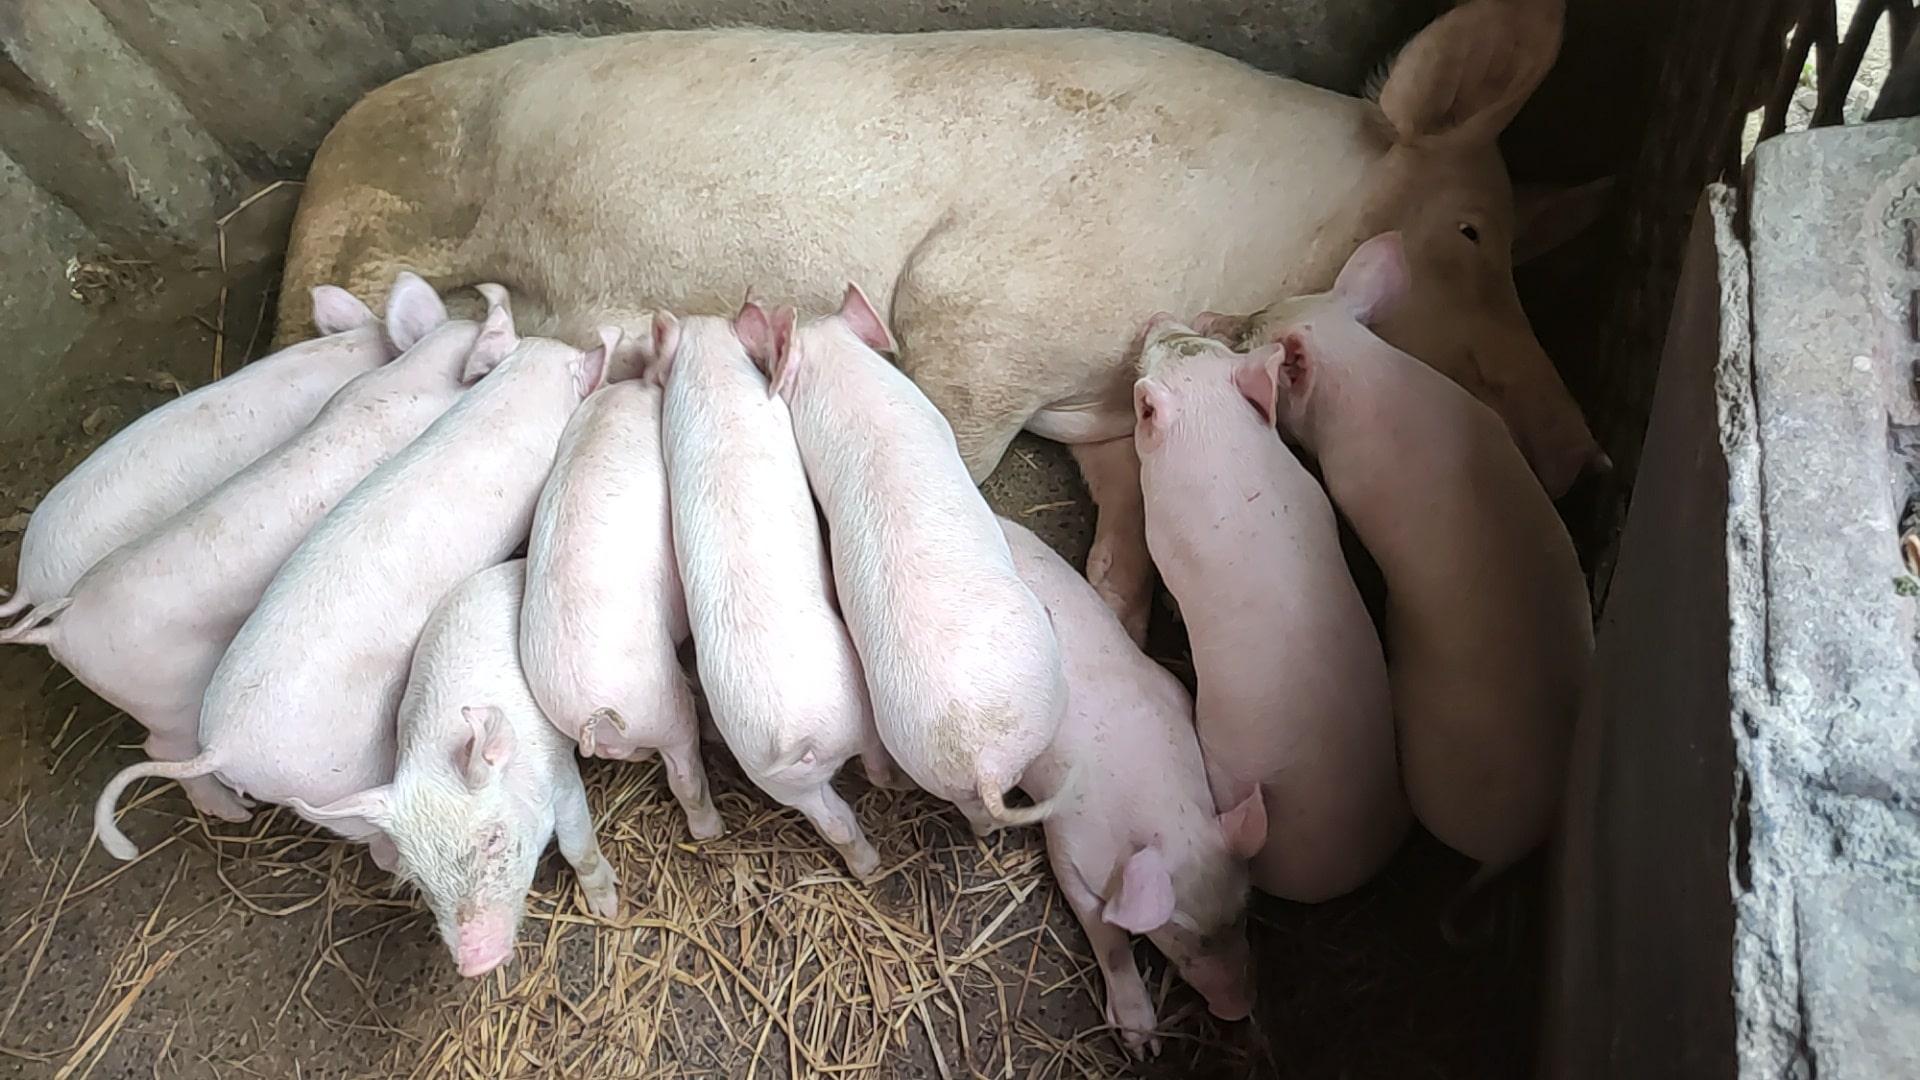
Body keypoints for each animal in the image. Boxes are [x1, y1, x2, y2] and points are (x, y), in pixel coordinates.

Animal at [274, 0, 1605, 638]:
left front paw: (1118, 607)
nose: (1583, 451)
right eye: (1471, 236)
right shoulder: (977, 313)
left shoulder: (1098, 401)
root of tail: (334, 137)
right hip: (376, 211)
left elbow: (1126, 510)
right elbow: (958, 447)